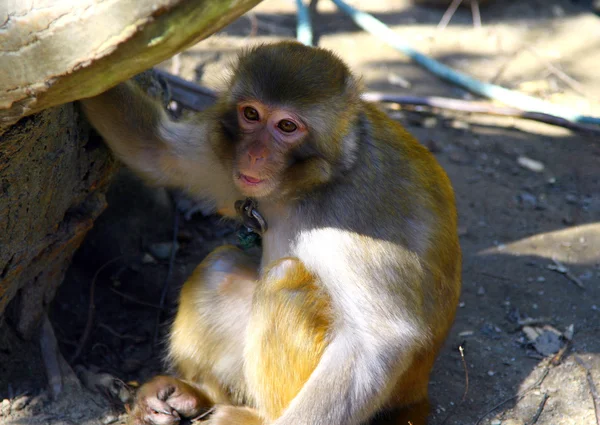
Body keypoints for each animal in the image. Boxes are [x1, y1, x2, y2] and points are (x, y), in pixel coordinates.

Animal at [79, 42, 462, 424]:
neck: (307, 186)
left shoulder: (356, 211)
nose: (254, 154)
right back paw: (195, 393)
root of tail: (416, 394)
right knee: (221, 267)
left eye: (287, 126)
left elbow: (379, 342)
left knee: (286, 277)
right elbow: (156, 150)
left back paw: (253, 415)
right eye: (251, 114)